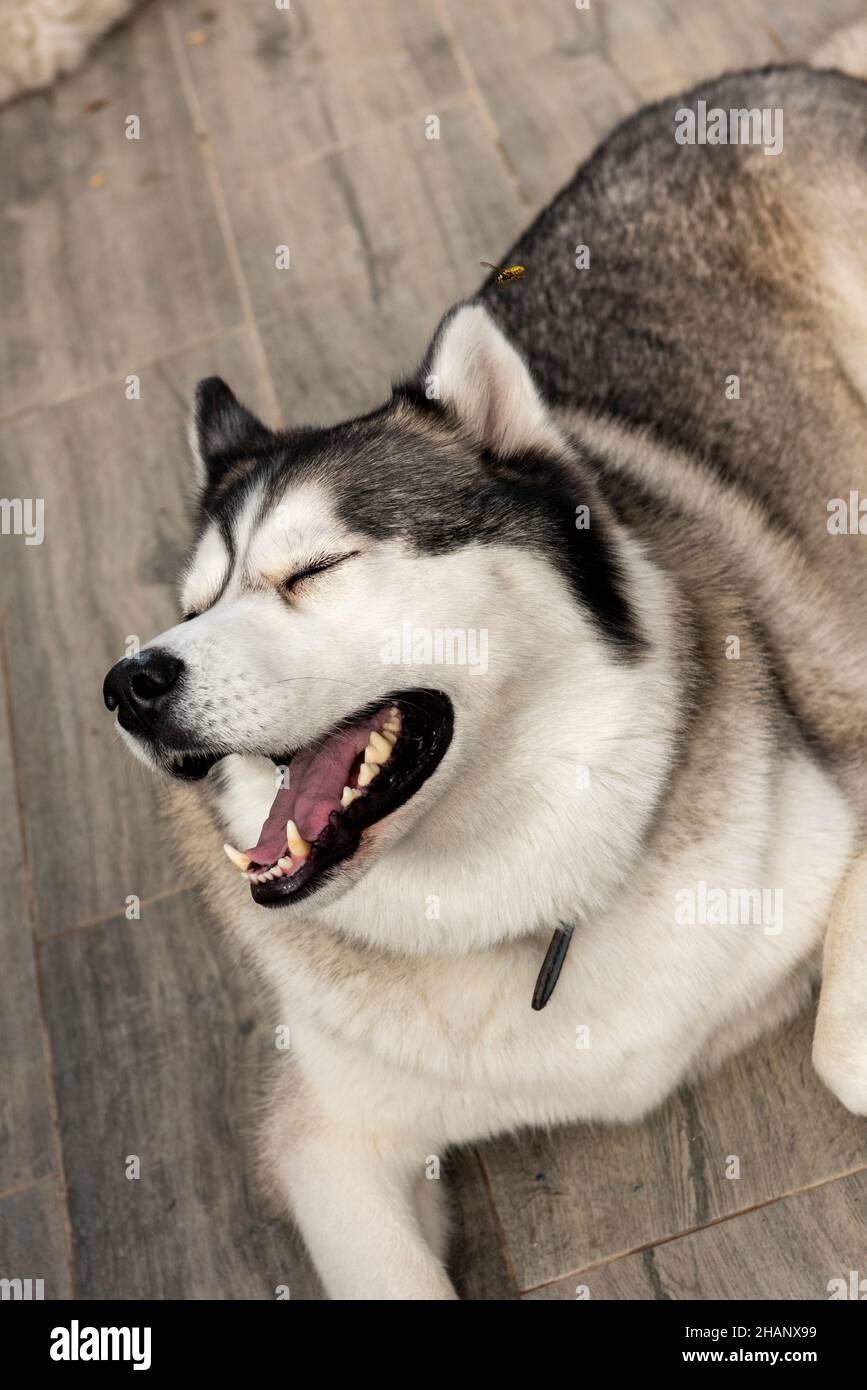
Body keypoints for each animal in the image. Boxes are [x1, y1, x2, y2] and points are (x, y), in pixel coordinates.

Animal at [104, 48, 867, 1295]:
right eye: (194, 604)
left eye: (314, 569)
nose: (129, 684)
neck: (521, 886)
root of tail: (778, 74)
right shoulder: (327, 1137)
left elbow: (842, 1051)